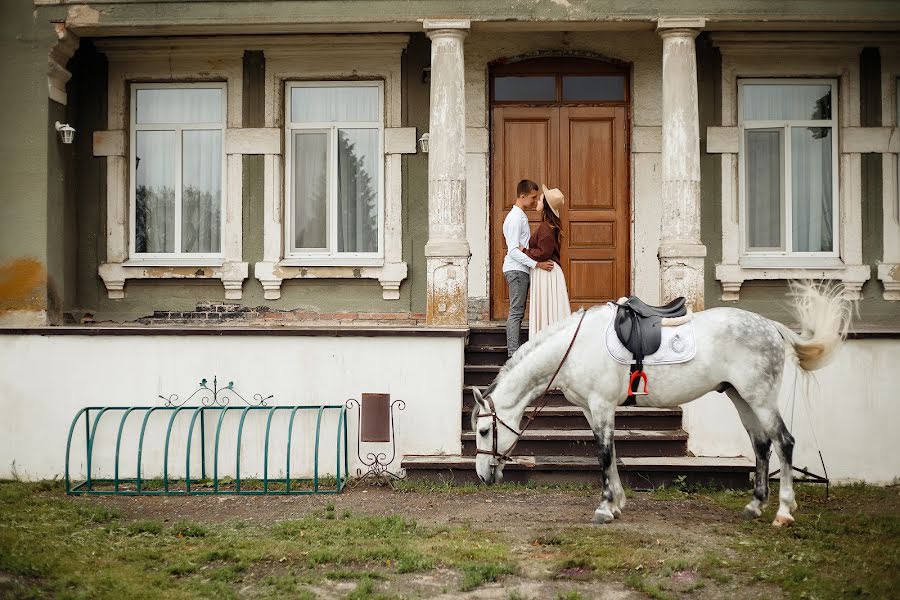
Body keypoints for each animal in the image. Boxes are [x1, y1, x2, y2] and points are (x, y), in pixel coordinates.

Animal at [472, 284, 852, 528]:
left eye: (485, 429)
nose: (482, 475)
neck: (575, 346)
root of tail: (770, 325)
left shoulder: (601, 406)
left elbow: (604, 455)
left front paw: (605, 507)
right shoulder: (592, 411)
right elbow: (610, 454)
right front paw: (618, 503)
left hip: (760, 398)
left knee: (784, 442)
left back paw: (783, 512)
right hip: (741, 397)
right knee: (761, 445)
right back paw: (755, 505)